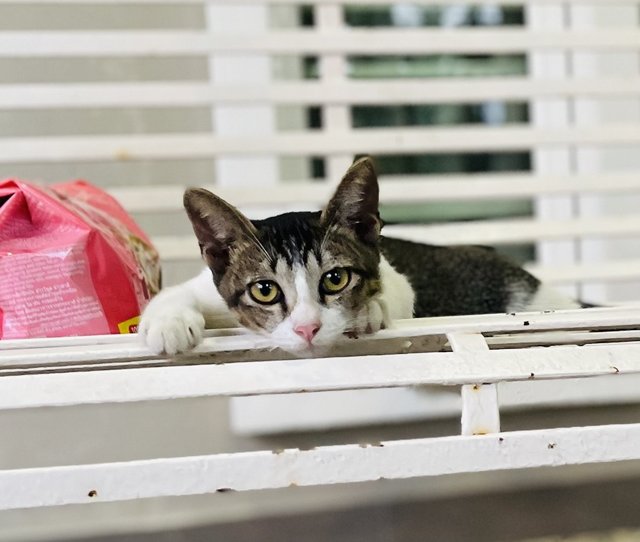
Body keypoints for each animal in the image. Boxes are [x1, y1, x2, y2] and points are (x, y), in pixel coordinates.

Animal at [140, 156, 580, 356]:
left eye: (335, 279)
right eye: (264, 290)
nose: (307, 329)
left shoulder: (395, 274)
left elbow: (399, 292)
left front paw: (369, 310)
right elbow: (174, 293)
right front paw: (167, 325)